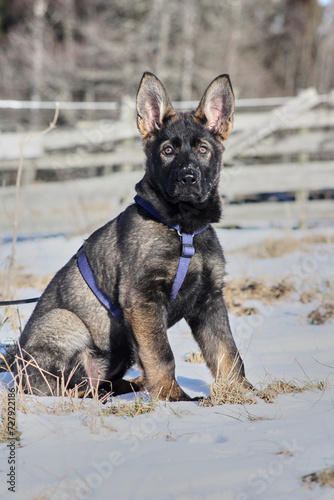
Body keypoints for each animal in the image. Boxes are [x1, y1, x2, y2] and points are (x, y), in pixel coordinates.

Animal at [16, 73, 250, 402]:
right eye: (167, 151)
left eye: (203, 150)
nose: (188, 178)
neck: (183, 228)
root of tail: (14, 372)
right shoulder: (142, 298)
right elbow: (161, 354)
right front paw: (173, 398)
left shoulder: (209, 298)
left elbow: (227, 352)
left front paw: (244, 393)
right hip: (66, 321)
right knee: (69, 386)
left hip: (121, 346)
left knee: (103, 382)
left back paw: (132, 386)